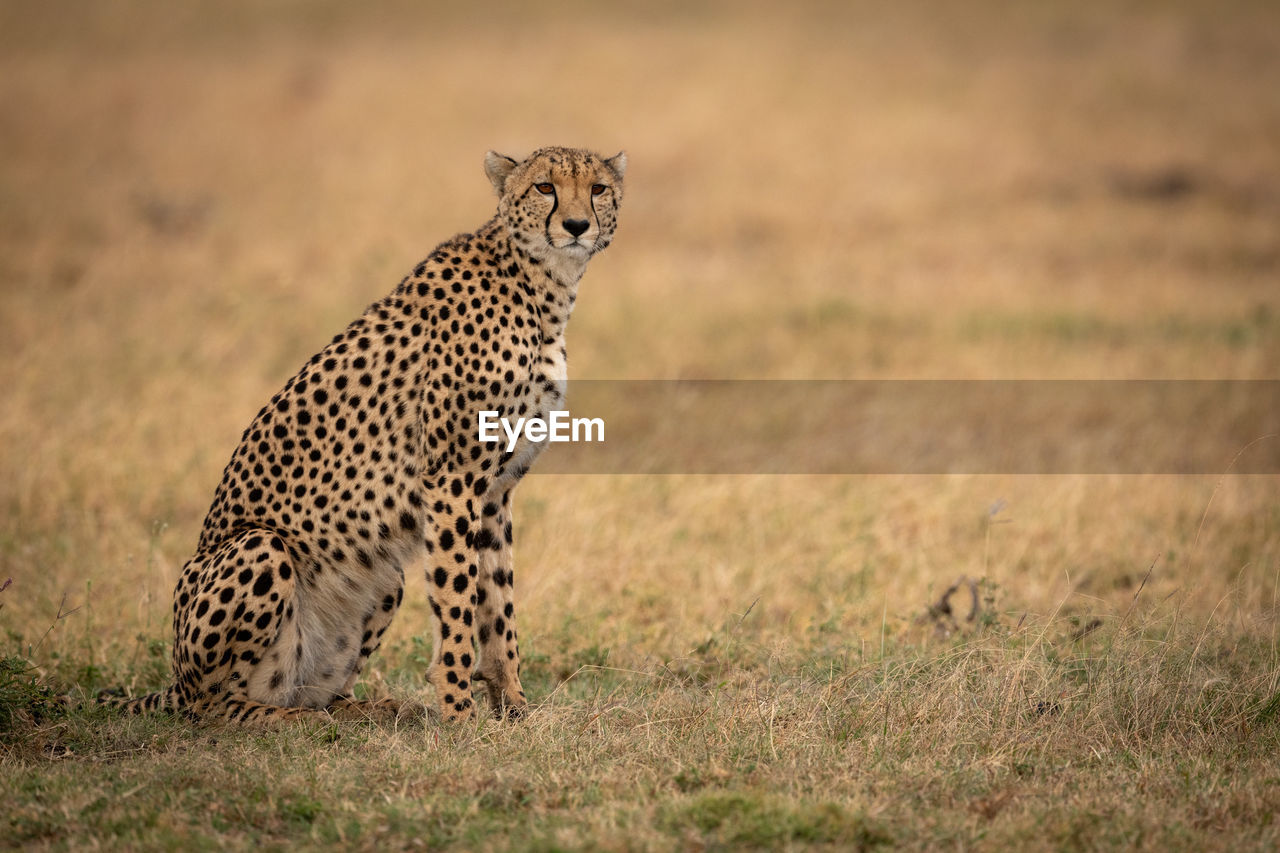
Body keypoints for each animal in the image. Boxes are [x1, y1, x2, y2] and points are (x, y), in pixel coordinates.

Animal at [112, 149, 622, 722]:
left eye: (598, 189)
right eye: (544, 187)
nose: (576, 225)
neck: (542, 285)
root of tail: (174, 680)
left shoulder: (494, 490)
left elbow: (498, 603)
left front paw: (513, 708)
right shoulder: (451, 479)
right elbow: (457, 599)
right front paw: (461, 715)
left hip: (381, 581)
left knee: (311, 688)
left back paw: (363, 710)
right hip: (260, 548)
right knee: (218, 704)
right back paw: (295, 721)